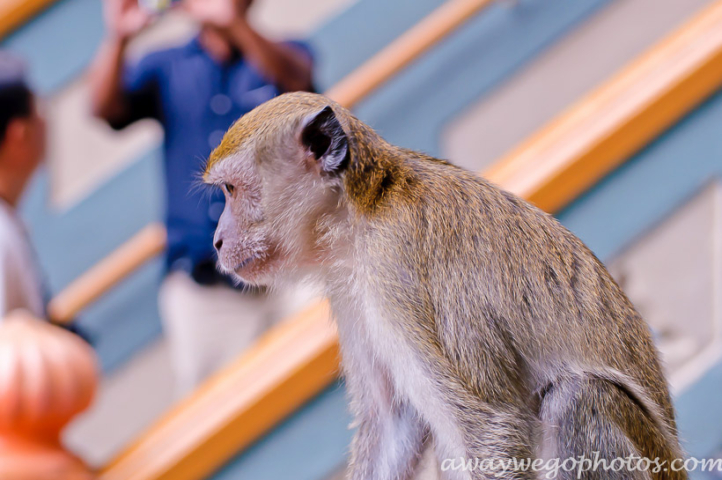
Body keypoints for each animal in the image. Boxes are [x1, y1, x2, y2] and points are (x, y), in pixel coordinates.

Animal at [204, 92, 688, 478]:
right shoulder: (350, 289)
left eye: (231, 190)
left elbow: (490, 426)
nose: (217, 241)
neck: (361, 211)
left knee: (578, 398)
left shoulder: (393, 266)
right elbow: (395, 423)